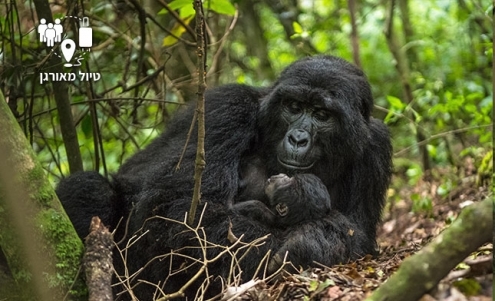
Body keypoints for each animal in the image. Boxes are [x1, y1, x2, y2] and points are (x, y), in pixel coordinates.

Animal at [57, 55, 392, 298]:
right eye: (294, 107)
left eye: (322, 115)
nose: (298, 139)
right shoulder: (225, 108)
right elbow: (180, 210)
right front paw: (301, 246)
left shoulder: (375, 147)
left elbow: (358, 235)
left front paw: (312, 241)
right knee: (90, 191)